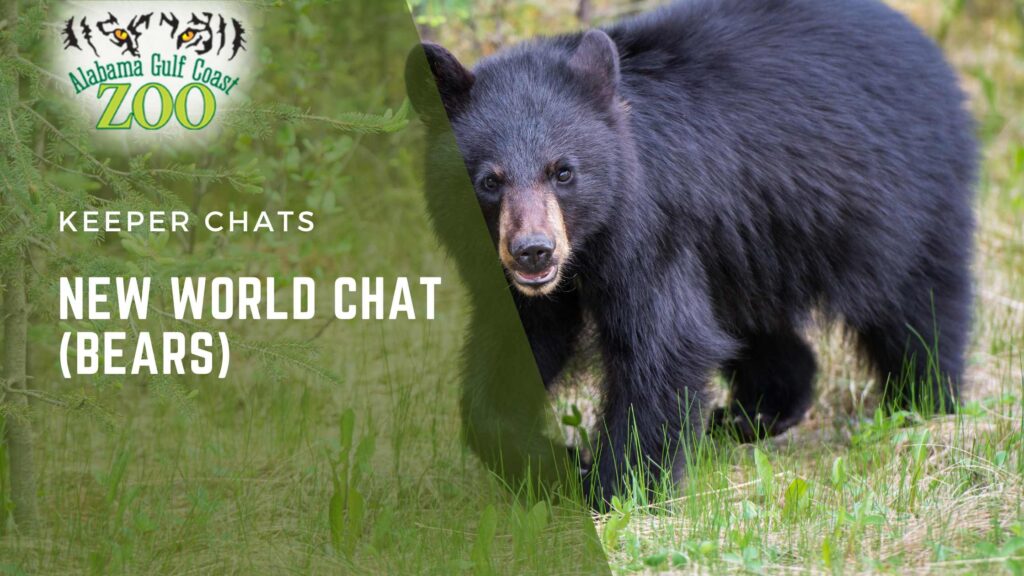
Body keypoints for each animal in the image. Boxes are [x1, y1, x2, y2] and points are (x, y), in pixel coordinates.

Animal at [405, 0, 976, 505]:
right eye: (489, 181)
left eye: (563, 172)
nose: (534, 253)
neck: (587, 246)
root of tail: (930, 52)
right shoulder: (518, 282)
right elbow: (513, 350)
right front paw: (551, 464)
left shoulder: (652, 229)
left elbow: (664, 346)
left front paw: (614, 487)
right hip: (750, 242)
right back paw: (755, 412)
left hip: (902, 201)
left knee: (919, 303)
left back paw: (921, 402)